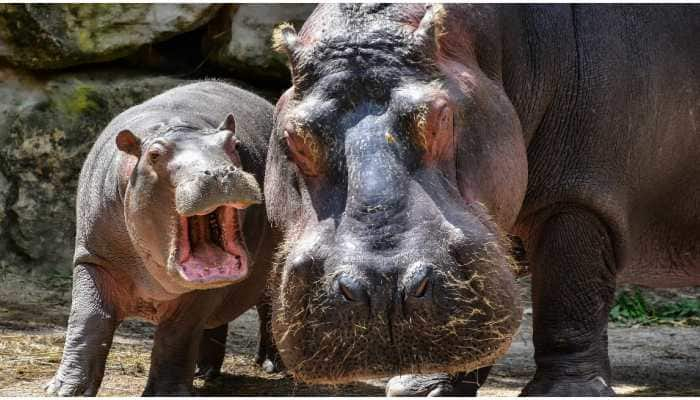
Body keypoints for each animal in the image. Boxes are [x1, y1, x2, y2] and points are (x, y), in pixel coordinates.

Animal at [44, 79, 282, 396]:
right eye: (154, 154)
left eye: (233, 144)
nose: (220, 173)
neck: (176, 126)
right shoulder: (94, 259)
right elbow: (88, 319)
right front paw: (63, 390)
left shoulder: (198, 294)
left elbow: (177, 334)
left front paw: (166, 393)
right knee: (216, 323)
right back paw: (204, 372)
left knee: (269, 307)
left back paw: (271, 364)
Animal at [264, 3, 700, 396]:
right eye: (294, 135)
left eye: (441, 114)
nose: (383, 287)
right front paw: (423, 388)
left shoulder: (579, 197)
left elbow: (568, 295)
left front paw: (563, 393)